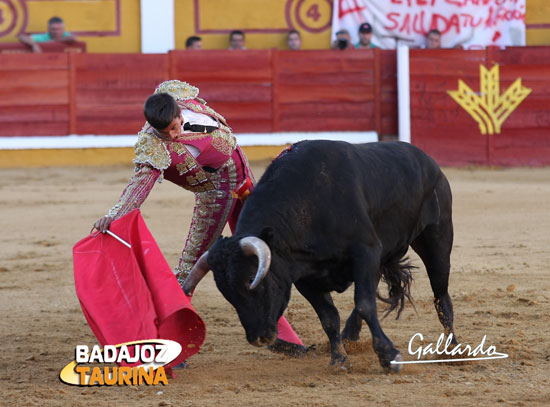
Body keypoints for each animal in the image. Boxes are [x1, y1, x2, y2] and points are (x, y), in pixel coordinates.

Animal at [185, 141, 458, 372]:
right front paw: (339, 360)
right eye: (226, 293)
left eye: (253, 279)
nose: (259, 338)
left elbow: (365, 303)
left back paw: (452, 351)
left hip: (438, 237)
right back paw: (350, 337)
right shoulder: (303, 276)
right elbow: (329, 318)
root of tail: (428, 161)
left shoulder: (366, 250)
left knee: (441, 296)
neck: (310, 202)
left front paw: (389, 356)